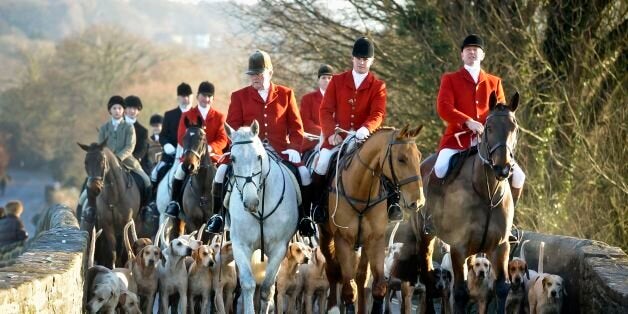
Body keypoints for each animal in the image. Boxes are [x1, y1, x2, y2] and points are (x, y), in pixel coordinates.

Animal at [78, 139, 145, 268]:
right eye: (86, 162)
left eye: (101, 160)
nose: (93, 188)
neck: (114, 196)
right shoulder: (107, 225)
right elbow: (112, 252)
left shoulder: (126, 222)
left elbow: (124, 250)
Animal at [226, 121, 300, 314]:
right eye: (233, 159)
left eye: (258, 157)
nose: (250, 201)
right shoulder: (240, 245)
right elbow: (248, 284)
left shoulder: (279, 248)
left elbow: (267, 288)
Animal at [318, 125, 426, 314]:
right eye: (401, 159)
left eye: (419, 156)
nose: (418, 201)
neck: (361, 192)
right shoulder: (343, 241)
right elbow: (348, 290)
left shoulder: (375, 240)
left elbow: (379, 288)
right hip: (326, 236)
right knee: (333, 272)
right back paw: (332, 307)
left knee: (361, 277)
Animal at [418, 91, 520, 314]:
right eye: (488, 128)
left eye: (514, 127)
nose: (503, 168)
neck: (487, 193)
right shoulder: (459, 247)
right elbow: (460, 292)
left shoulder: (500, 247)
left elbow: (501, 288)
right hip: (426, 235)